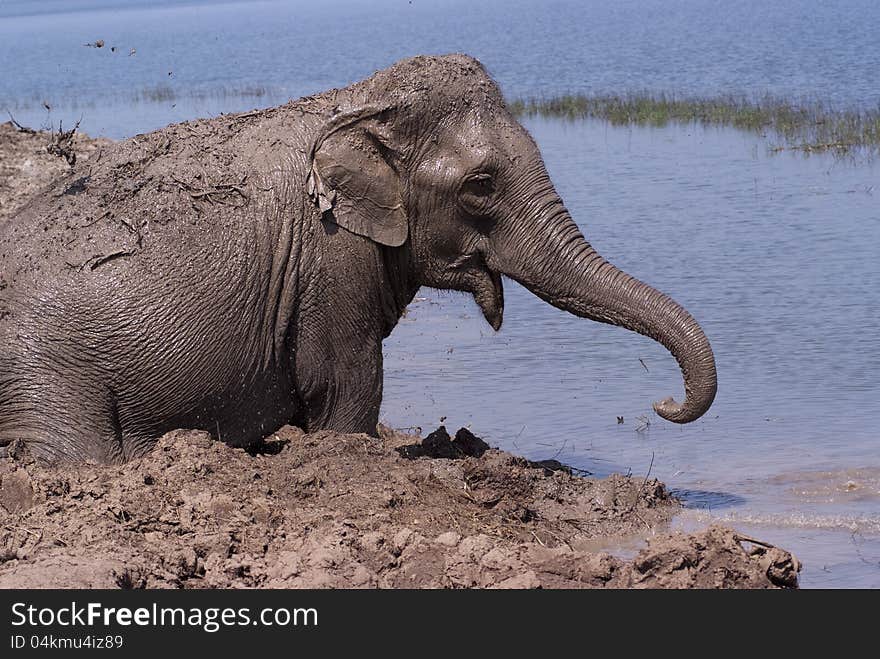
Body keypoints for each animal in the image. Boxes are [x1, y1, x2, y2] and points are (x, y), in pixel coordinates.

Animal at [0, 55, 716, 464]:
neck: (359, 99)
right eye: (480, 185)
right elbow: (346, 390)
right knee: (74, 455)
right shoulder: (330, 259)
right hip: (48, 373)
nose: (661, 404)